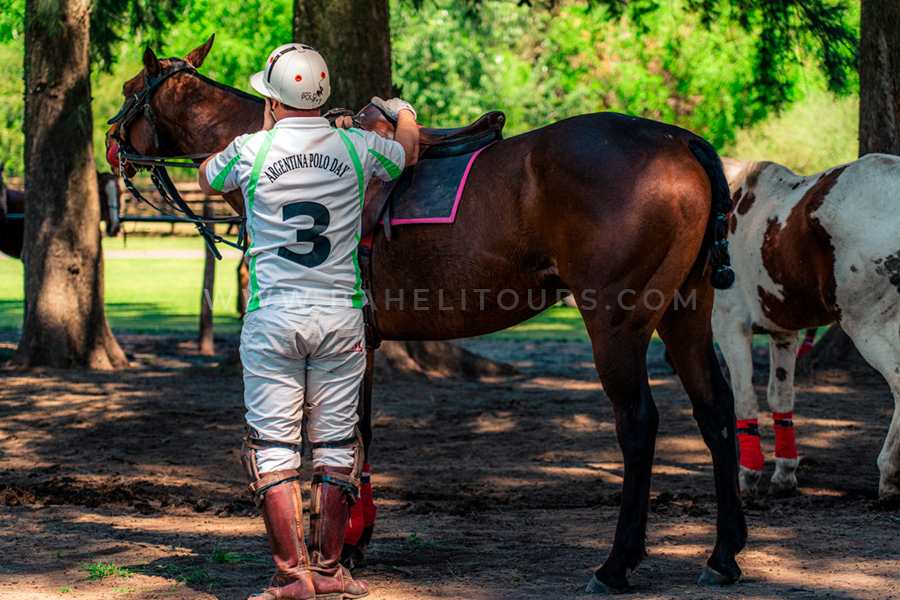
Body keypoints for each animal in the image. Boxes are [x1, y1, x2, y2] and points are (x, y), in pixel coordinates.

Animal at [109, 39, 748, 592]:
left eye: (126, 89)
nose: (112, 142)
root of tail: (677, 139)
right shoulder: (360, 340)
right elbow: (359, 431)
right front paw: (354, 537)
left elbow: (341, 435)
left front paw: (337, 543)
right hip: (685, 313)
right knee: (716, 409)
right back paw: (723, 554)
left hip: (616, 322)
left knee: (638, 423)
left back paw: (616, 564)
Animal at [712, 154, 900, 496]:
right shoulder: (783, 330)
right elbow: (780, 397)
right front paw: (784, 473)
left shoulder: (729, 325)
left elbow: (744, 401)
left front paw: (747, 476)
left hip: (868, 325)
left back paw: (889, 472)